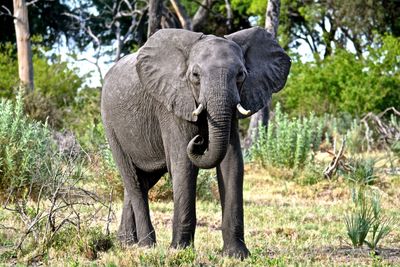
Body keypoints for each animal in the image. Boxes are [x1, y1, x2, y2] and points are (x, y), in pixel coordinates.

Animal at [101, 27, 290, 260]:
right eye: (195, 76)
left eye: (241, 75)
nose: (199, 140)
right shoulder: (171, 103)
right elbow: (184, 164)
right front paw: (179, 250)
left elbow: (232, 164)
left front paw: (236, 255)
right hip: (110, 124)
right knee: (134, 181)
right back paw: (146, 246)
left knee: (143, 182)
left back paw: (126, 243)